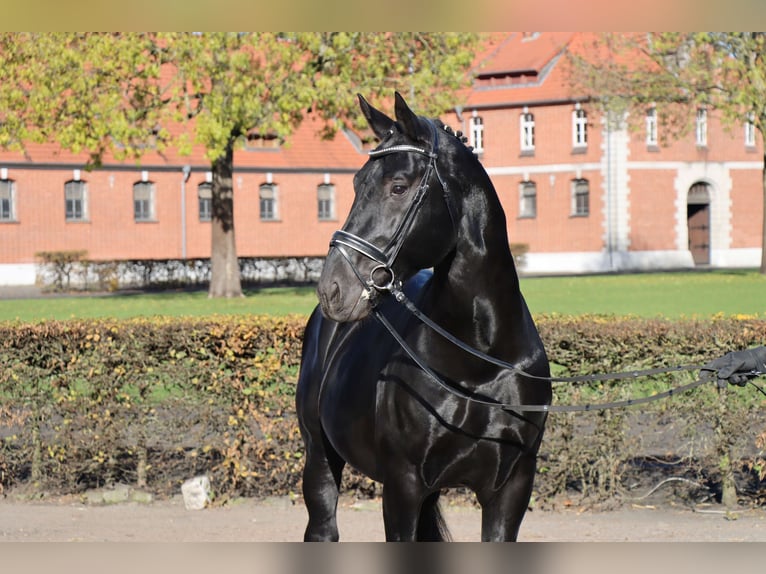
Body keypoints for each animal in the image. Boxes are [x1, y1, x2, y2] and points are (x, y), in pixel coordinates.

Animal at [296, 92, 551, 541]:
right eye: (356, 184)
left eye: (398, 187)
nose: (333, 288)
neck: (480, 354)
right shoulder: (403, 484)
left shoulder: (512, 487)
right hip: (320, 459)